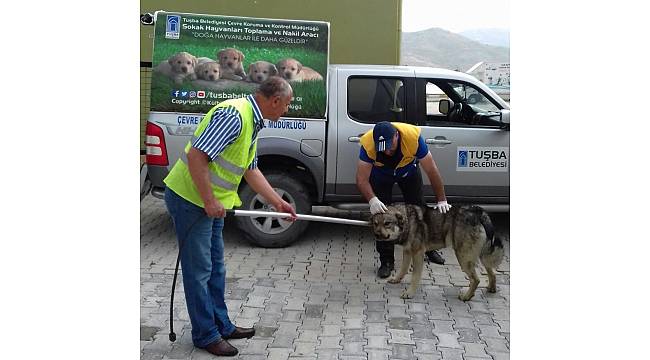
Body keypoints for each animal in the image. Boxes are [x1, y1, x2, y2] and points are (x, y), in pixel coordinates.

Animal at [370, 204, 502, 300]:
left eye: (387, 223)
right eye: (375, 224)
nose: (376, 234)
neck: (408, 220)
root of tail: (478, 212)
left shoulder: (418, 253)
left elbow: (415, 276)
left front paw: (410, 293)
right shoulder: (407, 251)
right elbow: (402, 269)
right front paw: (397, 279)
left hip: (463, 257)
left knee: (476, 280)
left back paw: (466, 297)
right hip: (481, 255)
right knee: (492, 273)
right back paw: (491, 288)